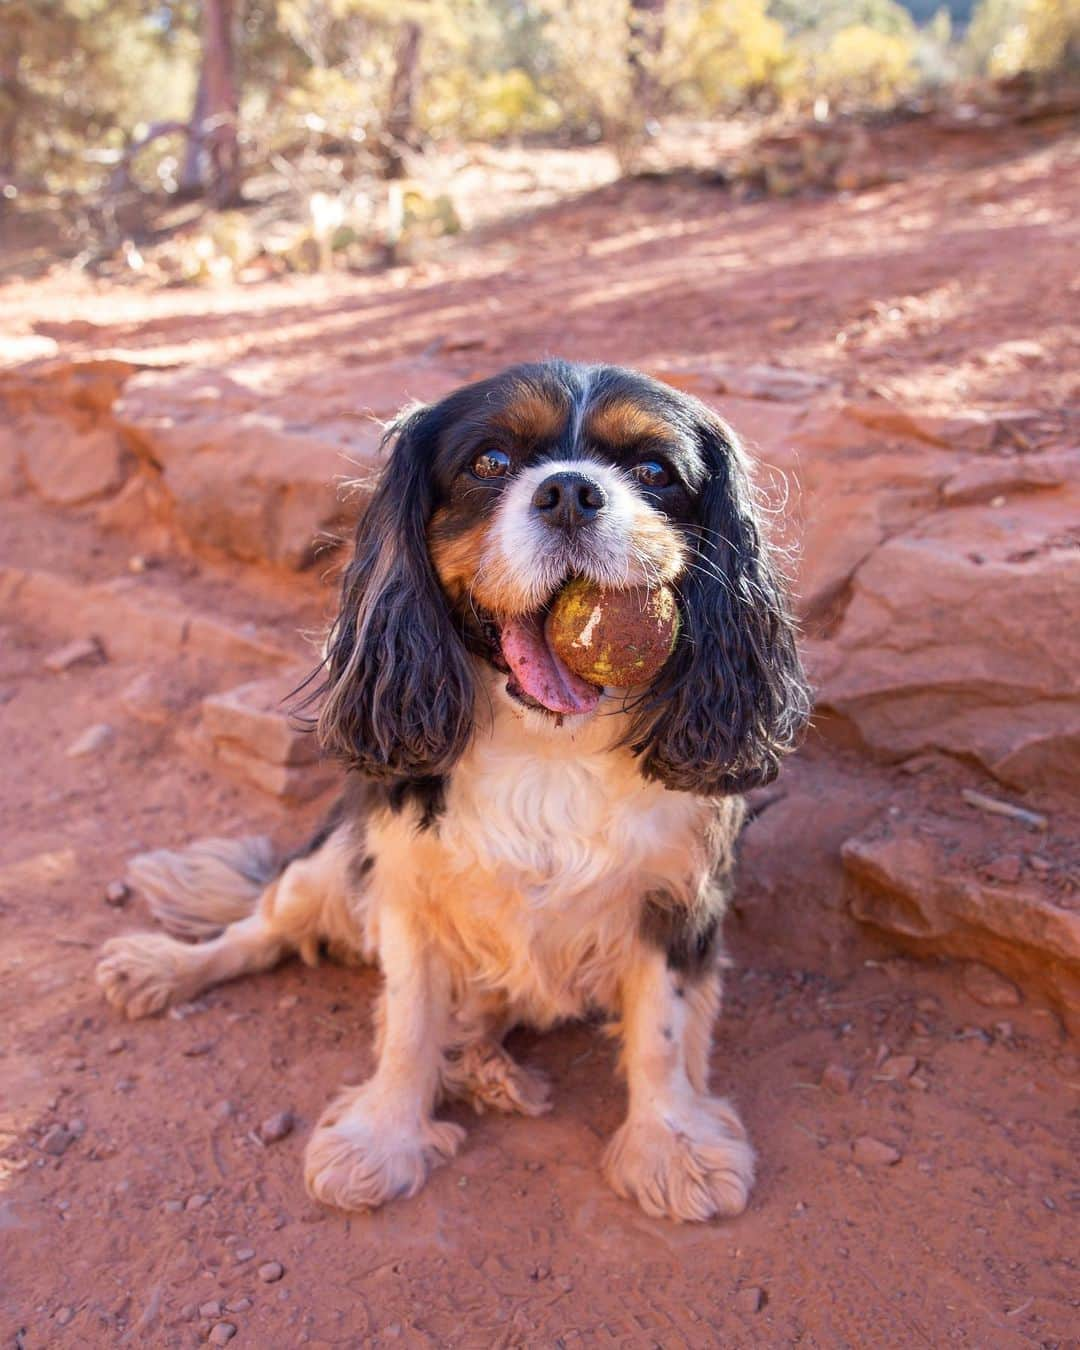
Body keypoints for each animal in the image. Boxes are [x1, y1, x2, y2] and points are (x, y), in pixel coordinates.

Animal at [97, 359, 804, 1225]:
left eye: (653, 472)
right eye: (490, 463)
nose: (571, 491)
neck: (548, 746)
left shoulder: (680, 898)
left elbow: (662, 1034)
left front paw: (671, 1147)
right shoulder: (406, 890)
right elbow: (406, 1026)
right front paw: (381, 1141)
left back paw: (485, 1063)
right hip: (329, 861)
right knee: (257, 930)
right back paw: (163, 968)